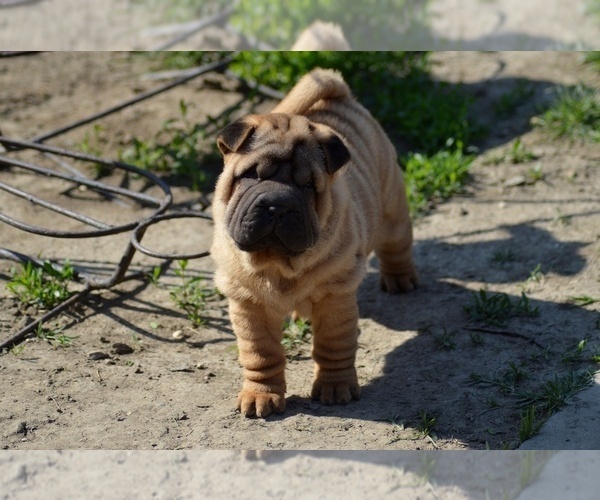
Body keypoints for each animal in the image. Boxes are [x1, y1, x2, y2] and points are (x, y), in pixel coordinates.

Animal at [212, 68, 418, 416]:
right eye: (252, 175)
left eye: (308, 185)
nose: (278, 205)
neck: (278, 263)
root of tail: (339, 94)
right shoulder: (247, 302)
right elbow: (260, 353)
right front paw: (260, 396)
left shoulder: (335, 295)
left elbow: (333, 345)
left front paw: (335, 388)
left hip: (391, 209)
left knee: (397, 246)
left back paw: (401, 280)